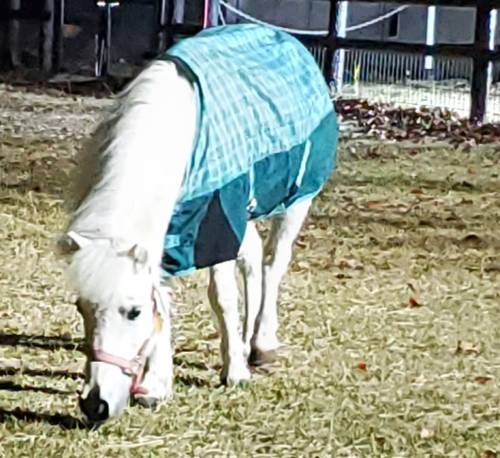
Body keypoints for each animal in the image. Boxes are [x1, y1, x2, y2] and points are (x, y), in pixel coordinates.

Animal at [58, 24, 338, 424]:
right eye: (81, 307)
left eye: (133, 312)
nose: (96, 403)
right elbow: (163, 294)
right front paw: (157, 384)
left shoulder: (216, 220)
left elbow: (222, 297)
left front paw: (234, 372)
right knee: (253, 258)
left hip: (297, 198)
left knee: (274, 262)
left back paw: (261, 343)